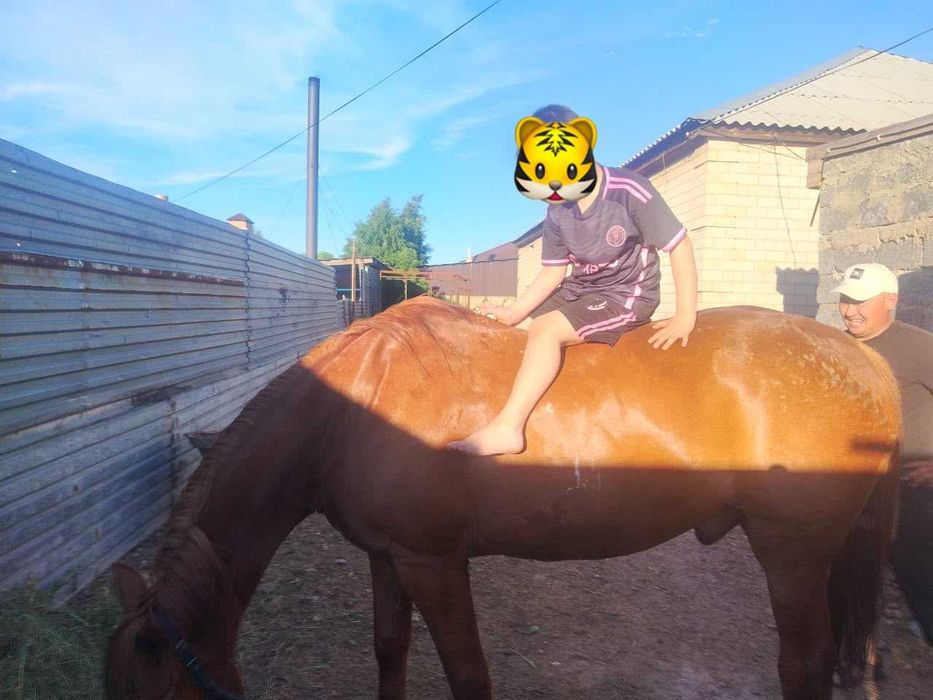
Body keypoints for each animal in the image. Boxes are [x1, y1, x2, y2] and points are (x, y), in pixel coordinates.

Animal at [105, 297, 900, 699]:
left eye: (148, 695)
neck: (351, 407)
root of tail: (864, 359)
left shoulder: (433, 563)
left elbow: (467, 674)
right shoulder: (388, 558)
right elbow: (388, 652)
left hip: (791, 554)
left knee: (803, 664)